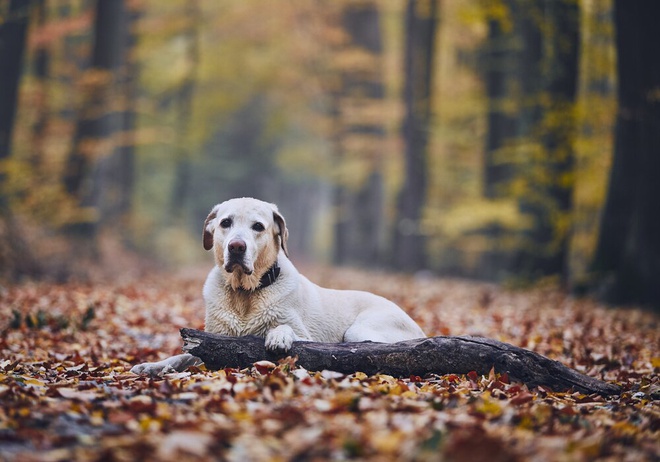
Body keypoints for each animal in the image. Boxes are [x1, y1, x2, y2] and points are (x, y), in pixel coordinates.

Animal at [131, 198, 426, 376]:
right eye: (225, 223)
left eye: (258, 227)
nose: (236, 247)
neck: (245, 294)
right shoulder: (211, 339)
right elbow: (182, 356)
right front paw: (150, 366)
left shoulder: (306, 334)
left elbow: (286, 328)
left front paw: (279, 335)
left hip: (359, 331)